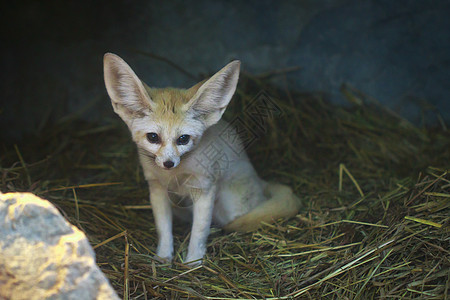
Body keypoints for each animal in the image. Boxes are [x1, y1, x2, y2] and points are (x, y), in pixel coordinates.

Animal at [103, 52, 300, 266]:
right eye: (153, 137)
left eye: (183, 139)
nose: (168, 163)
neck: (176, 176)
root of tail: (259, 180)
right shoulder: (157, 189)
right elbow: (163, 229)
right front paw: (163, 257)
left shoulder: (204, 189)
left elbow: (199, 231)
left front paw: (193, 263)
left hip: (228, 207)